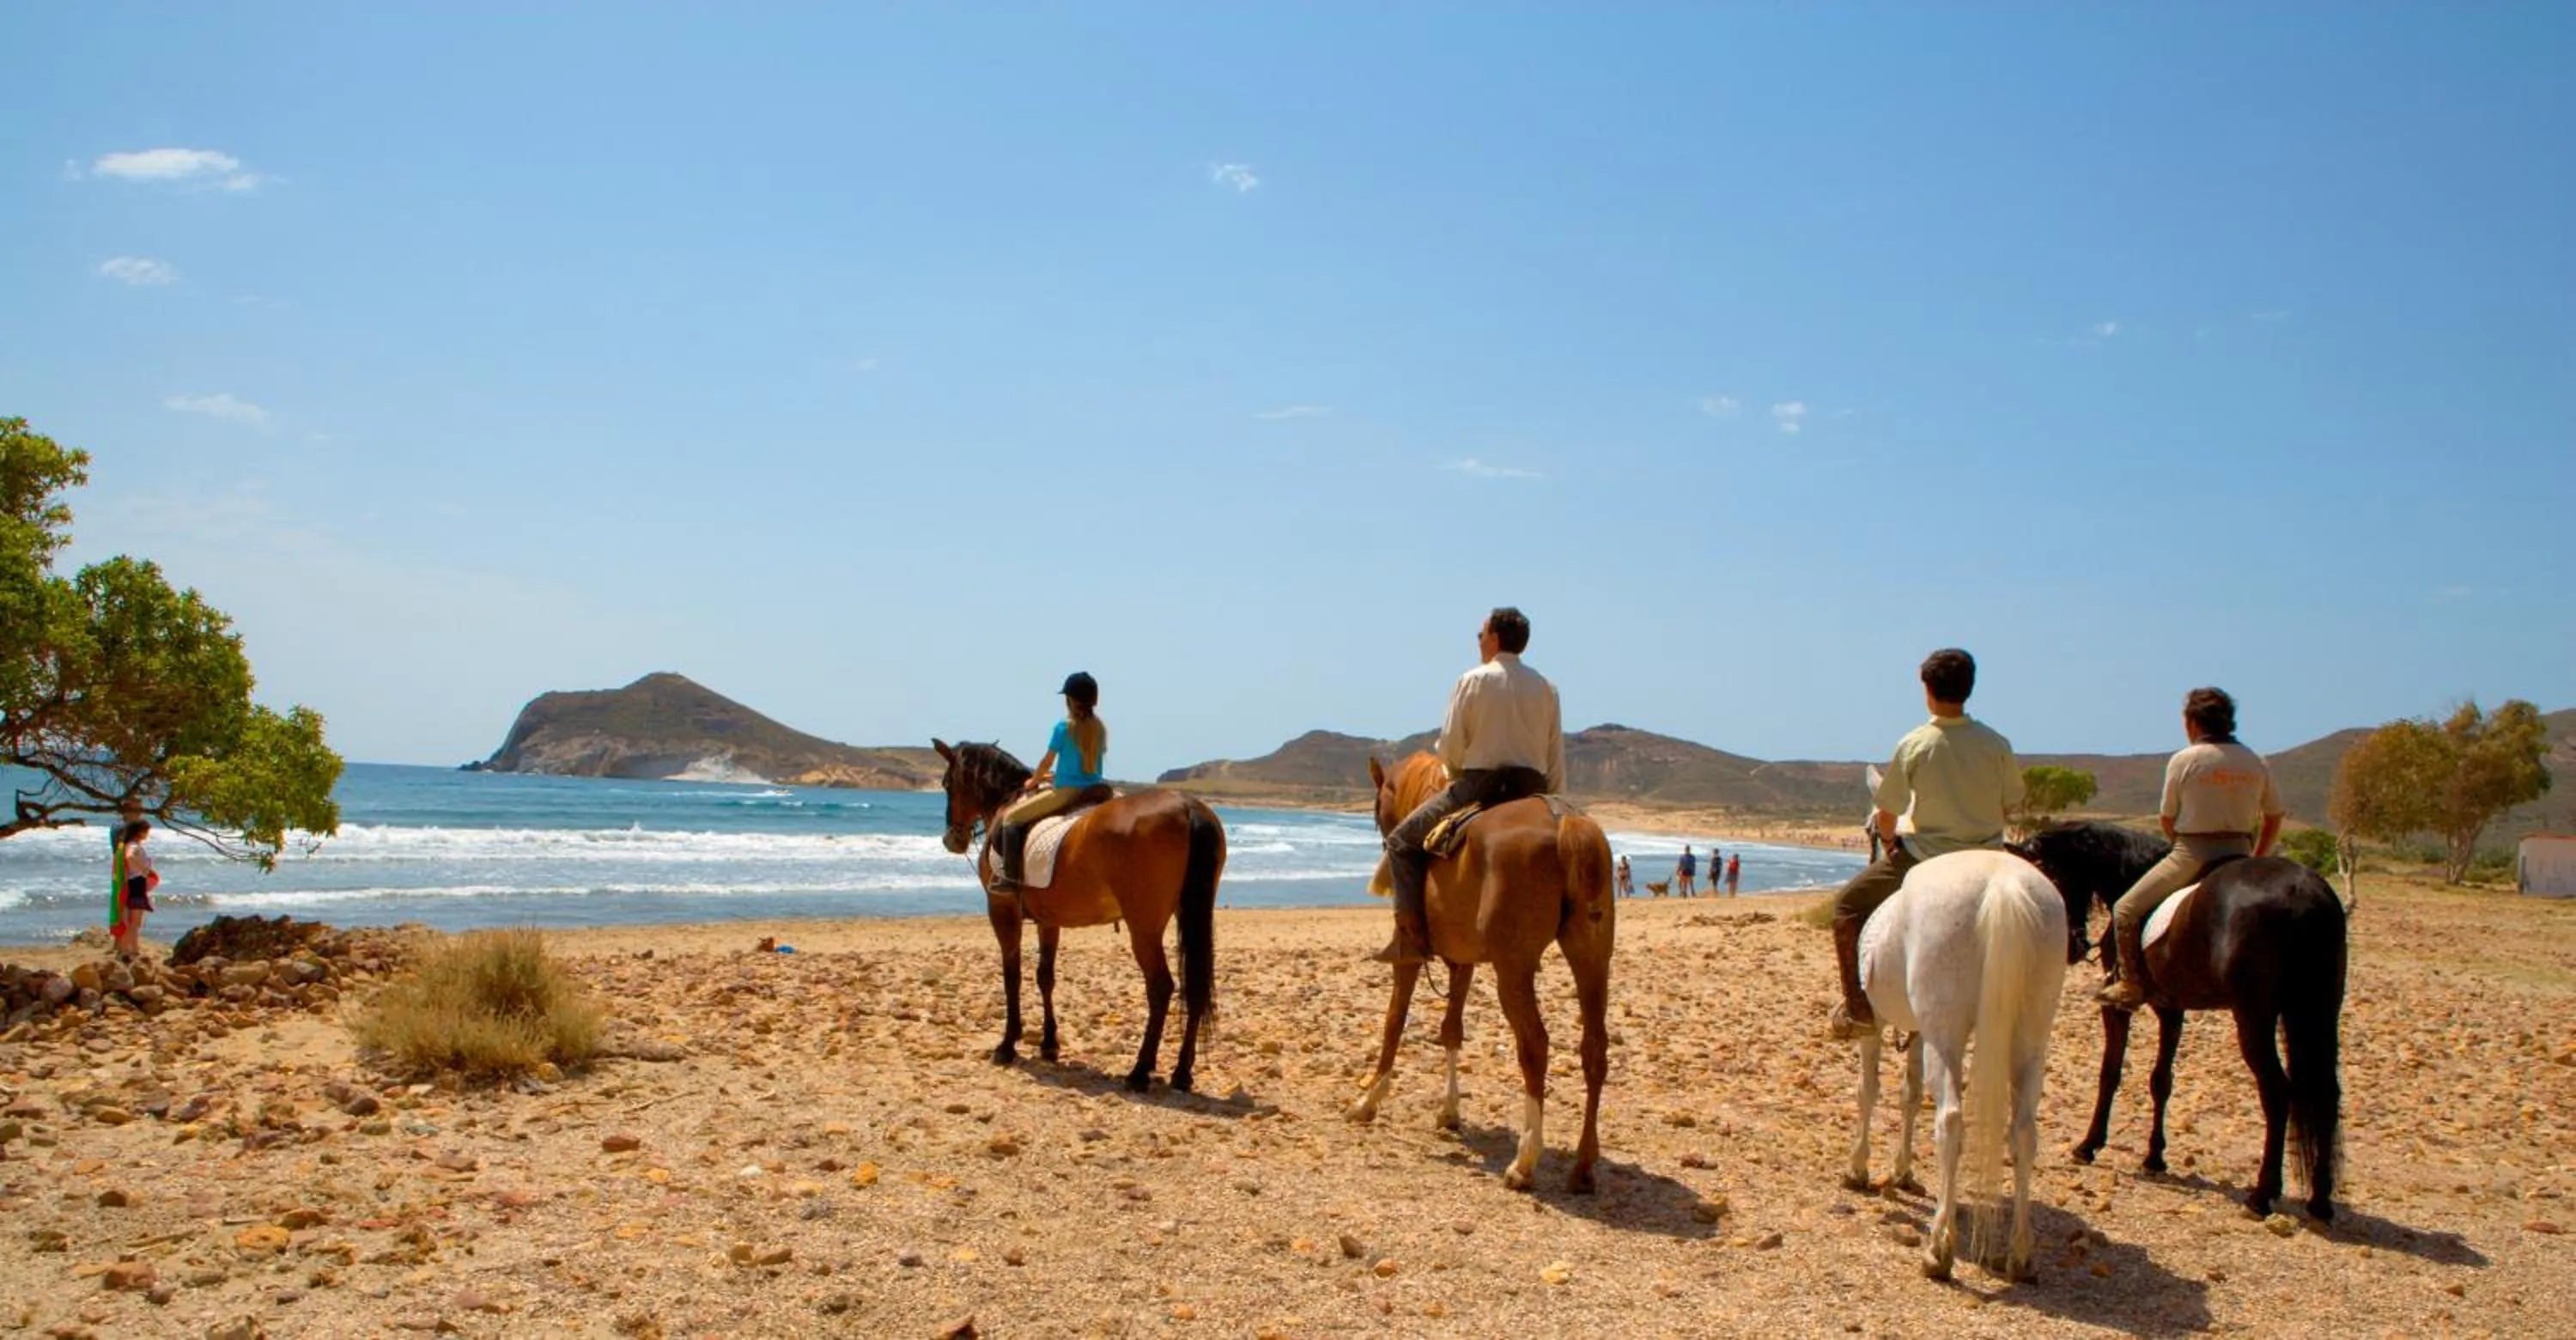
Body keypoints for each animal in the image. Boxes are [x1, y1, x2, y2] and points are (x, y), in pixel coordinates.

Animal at [931, 739, 1226, 1093]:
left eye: (947, 783)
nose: (952, 839)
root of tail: (1188, 808)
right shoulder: (1049, 920)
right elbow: (1045, 977)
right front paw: (1049, 1044)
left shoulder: (1003, 911)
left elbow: (1012, 975)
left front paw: (1007, 1044)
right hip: (1191, 915)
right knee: (1195, 986)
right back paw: (1182, 1073)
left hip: (1144, 929)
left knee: (1161, 988)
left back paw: (1140, 1071)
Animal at [1345, 752, 1616, 1193]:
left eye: (1375, 809)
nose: (1383, 842)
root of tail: (1566, 825)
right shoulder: (1464, 962)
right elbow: (1451, 1030)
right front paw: (1449, 1112)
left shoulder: (1407, 958)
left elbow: (1393, 1023)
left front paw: (1367, 1101)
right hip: (1591, 959)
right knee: (1594, 1049)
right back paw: (1583, 1167)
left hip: (1514, 970)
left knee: (1535, 1046)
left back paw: (1524, 1162)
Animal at [1844, 848, 2069, 1280]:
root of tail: (2002, 883)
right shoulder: (1917, 1031)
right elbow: (1909, 1095)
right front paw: (1902, 1171)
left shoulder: (1876, 1025)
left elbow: (1869, 1091)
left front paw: (1857, 1169)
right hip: (2031, 1036)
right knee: (2024, 1133)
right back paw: (2020, 1255)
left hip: (1944, 1033)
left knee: (1950, 1121)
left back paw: (1939, 1248)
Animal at [2016, 821, 2346, 1221]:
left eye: (2050, 879)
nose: (2070, 947)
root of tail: (2302, 894)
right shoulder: (2171, 1009)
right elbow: (2161, 1081)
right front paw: (2154, 1157)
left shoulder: (2119, 1008)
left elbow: (2110, 1072)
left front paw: (2089, 1145)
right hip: (2321, 1010)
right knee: (2326, 1094)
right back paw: (2320, 1201)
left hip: (2254, 1016)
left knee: (2278, 1092)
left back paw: (2262, 1196)